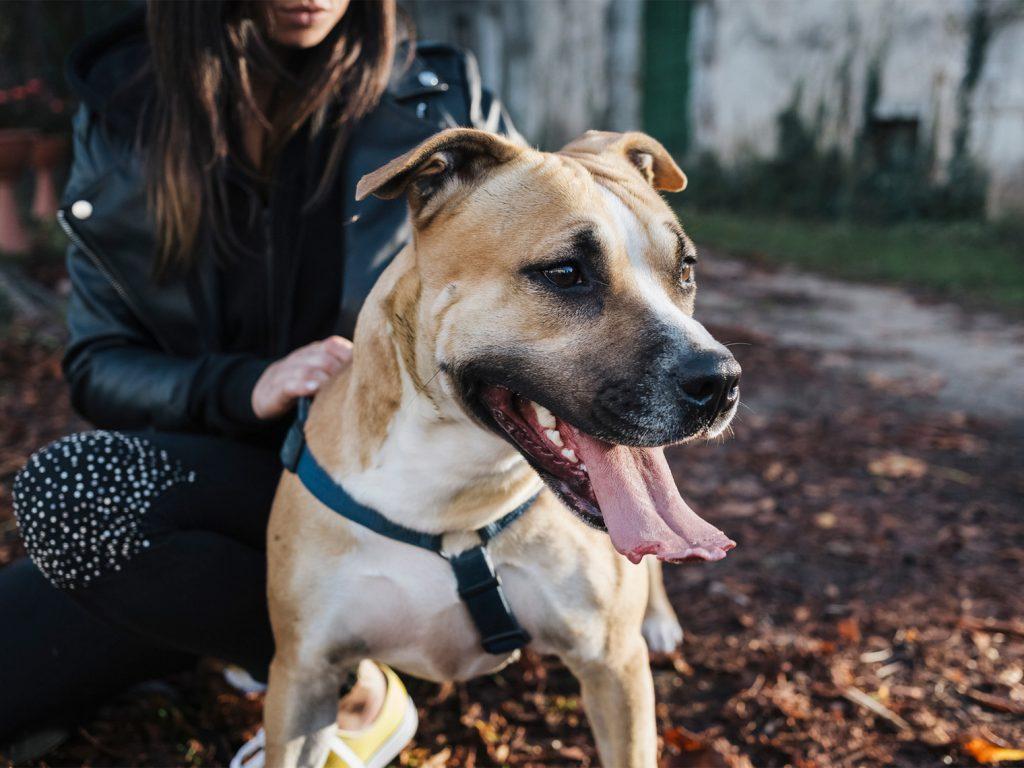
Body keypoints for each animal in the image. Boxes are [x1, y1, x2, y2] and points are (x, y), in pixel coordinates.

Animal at [264, 129, 741, 765]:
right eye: (565, 272)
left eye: (685, 270)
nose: (721, 379)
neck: (450, 495)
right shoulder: (305, 675)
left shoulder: (613, 666)